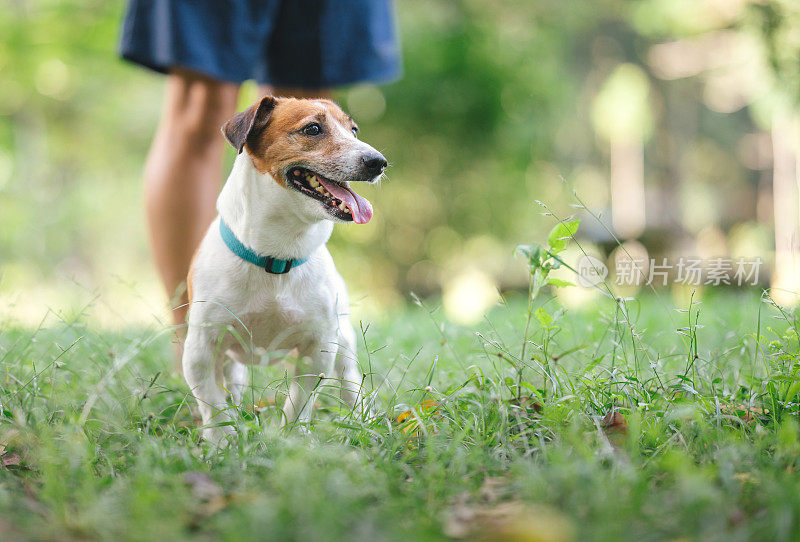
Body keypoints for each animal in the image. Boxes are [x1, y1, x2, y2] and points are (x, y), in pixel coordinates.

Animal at [185, 96, 390, 446]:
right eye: (313, 129)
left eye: (353, 130)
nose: (379, 161)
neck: (276, 256)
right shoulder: (200, 349)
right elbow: (212, 403)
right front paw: (222, 443)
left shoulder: (319, 345)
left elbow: (300, 401)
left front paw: (292, 439)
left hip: (344, 339)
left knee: (350, 380)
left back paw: (362, 418)